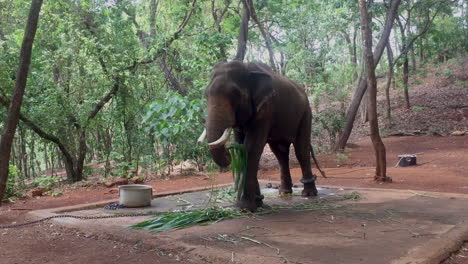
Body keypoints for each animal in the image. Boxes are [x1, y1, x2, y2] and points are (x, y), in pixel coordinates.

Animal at [196, 60, 324, 211]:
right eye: (206, 94)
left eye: (236, 94)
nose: (228, 153)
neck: (247, 68)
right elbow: (242, 145)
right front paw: (257, 203)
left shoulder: (266, 109)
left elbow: (251, 147)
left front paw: (245, 207)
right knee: (280, 153)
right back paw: (284, 192)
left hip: (305, 112)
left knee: (301, 149)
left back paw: (309, 194)